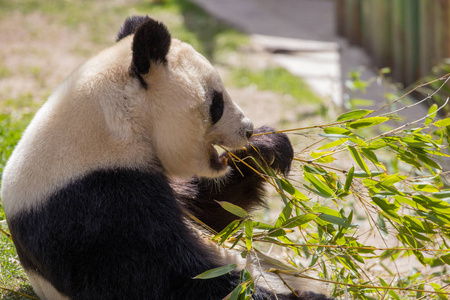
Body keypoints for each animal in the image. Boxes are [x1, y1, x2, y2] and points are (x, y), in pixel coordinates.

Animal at [0, 16, 332, 300]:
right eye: (217, 103)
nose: (247, 129)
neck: (114, 126)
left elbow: (213, 211)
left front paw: (265, 149)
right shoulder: (92, 202)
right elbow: (170, 277)